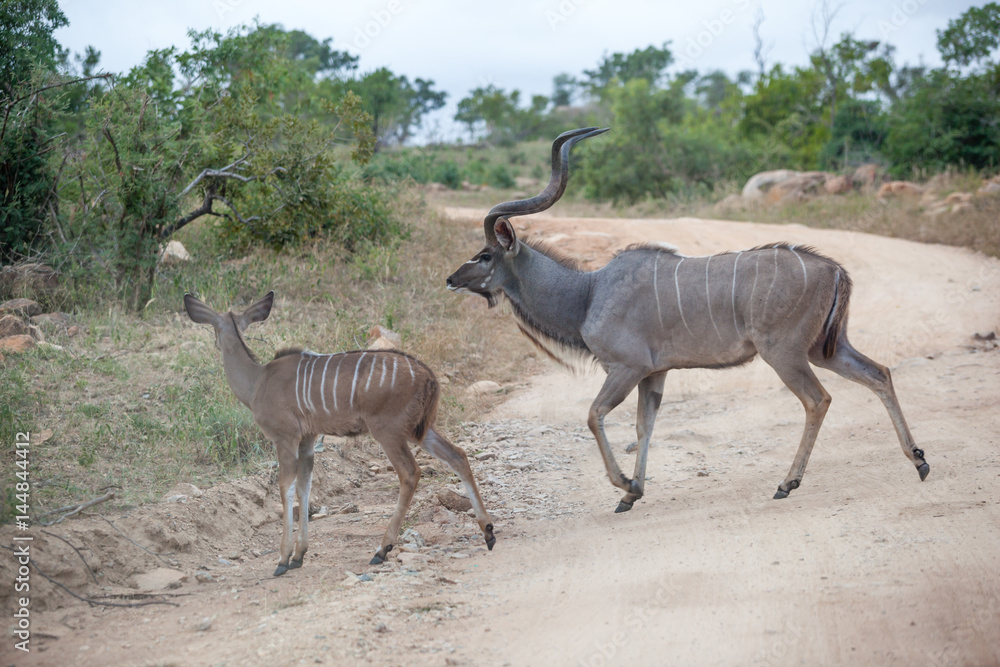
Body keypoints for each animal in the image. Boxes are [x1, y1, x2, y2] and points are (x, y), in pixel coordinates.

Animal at [184, 292, 496, 576]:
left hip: (388, 431)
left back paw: (381, 549)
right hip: (420, 430)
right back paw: (488, 531)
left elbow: (286, 488)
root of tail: (427, 375)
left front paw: (283, 559)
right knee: (457, 456)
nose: (214, 343)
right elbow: (304, 487)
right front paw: (299, 555)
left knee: (411, 472)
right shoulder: (308, 440)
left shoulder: (285, 438)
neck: (258, 381)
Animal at [448, 129, 928, 512]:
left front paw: (625, 484)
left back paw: (787, 483)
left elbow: (594, 414)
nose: (451, 279)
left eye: (485, 254)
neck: (587, 294)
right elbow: (644, 426)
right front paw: (632, 494)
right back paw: (919, 460)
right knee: (879, 373)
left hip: (785, 353)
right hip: (825, 348)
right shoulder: (654, 374)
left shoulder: (627, 368)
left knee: (818, 399)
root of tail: (834, 268)